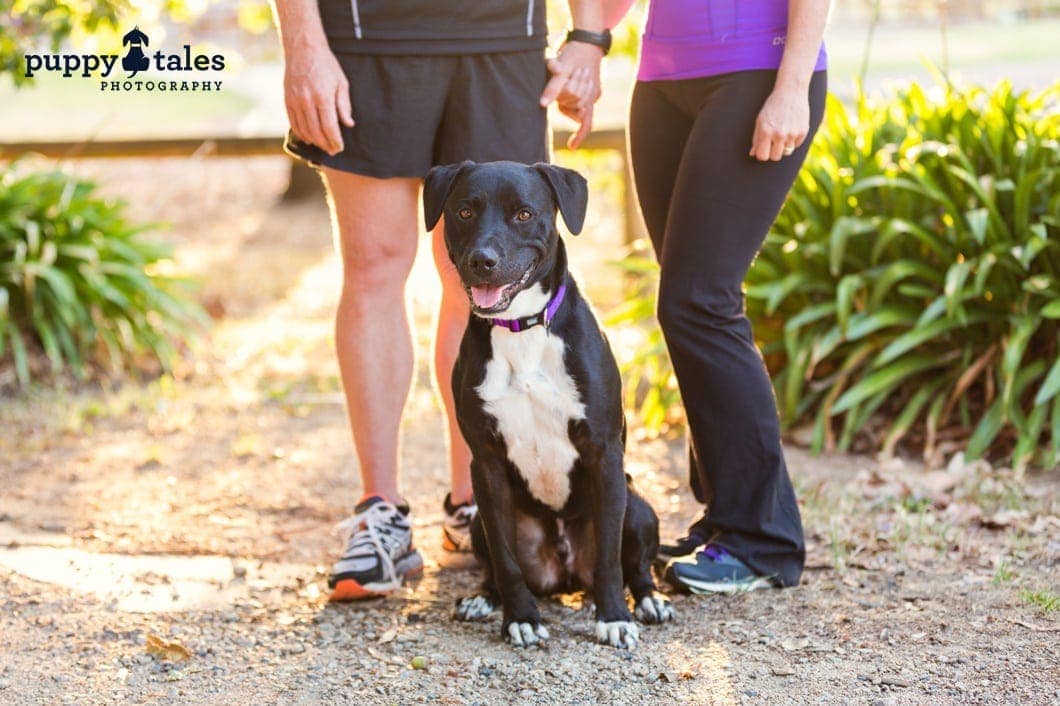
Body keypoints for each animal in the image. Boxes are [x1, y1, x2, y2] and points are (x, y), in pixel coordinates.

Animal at [419, 161, 674, 648]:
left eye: (524, 214)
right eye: (464, 211)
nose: (482, 260)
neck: (521, 329)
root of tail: (566, 572)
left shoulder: (604, 453)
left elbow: (610, 558)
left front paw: (614, 617)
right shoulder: (486, 465)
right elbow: (506, 561)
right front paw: (520, 618)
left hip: (637, 506)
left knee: (634, 564)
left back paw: (648, 599)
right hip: (478, 521)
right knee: (493, 566)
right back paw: (483, 598)